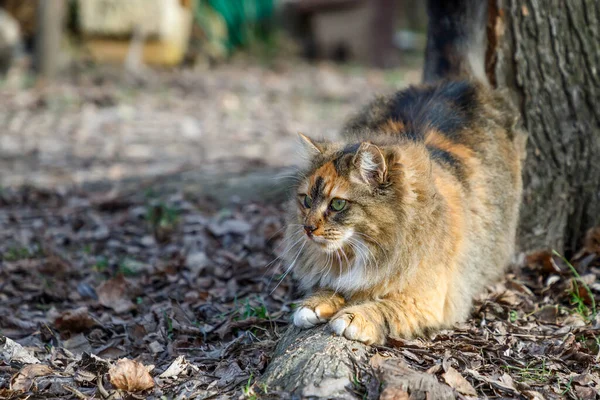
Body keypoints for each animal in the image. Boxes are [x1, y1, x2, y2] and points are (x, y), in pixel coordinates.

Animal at [284, 0, 524, 346]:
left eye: (338, 204)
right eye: (305, 200)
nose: (307, 228)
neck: (364, 252)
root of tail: (451, 80)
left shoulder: (426, 300)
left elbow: (382, 306)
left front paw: (353, 316)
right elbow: (334, 287)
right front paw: (315, 304)